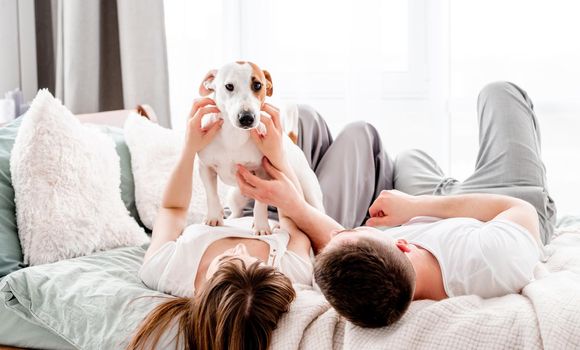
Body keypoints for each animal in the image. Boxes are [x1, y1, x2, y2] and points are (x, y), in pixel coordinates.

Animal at [194, 61, 322, 235]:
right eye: (229, 86)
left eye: (257, 85)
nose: (247, 117)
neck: (234, 136)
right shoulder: (205, 168)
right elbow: (212, 195)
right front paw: (214, 217)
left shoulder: (263, 173)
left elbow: (260, 205)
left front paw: (262, 226)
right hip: (235, 196)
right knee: (237, 212)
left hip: (310, 192)